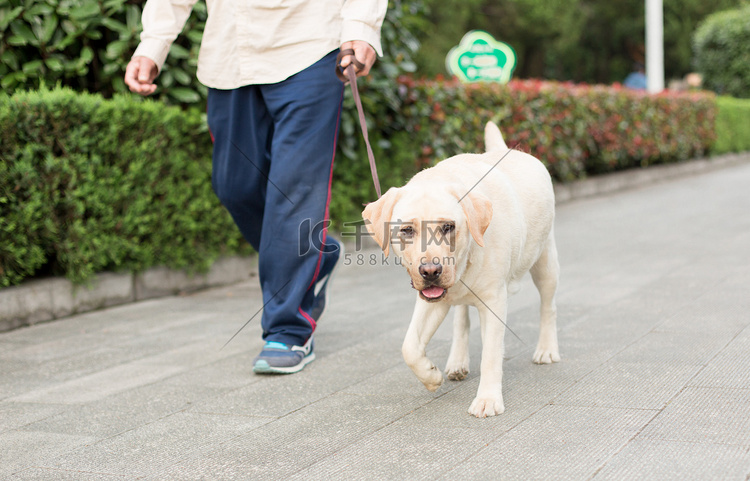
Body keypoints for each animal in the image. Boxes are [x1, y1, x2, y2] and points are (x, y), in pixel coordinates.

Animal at [362, 121, 560, 416]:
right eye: (407, 230)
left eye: (448, 227)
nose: (430, 272)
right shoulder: (431, 300)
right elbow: (409, 347)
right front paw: (431, 376)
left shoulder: (494, 298)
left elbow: (490, 353)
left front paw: (488, 398)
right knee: (461, 318)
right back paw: (457, 361)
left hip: (545, 261)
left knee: (547, 306)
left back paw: (546, 349)